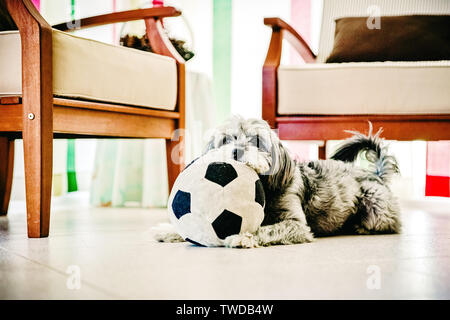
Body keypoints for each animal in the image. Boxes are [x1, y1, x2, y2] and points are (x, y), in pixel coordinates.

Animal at [155, 116, 400, 249]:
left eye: (257, 141)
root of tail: (376, 175)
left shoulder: (296, 225)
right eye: (226, 139)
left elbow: (266, 229)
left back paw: (361, 227)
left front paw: (242, 237)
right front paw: (168, 231)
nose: (236, 152)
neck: (264, 186)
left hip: (375, 205)